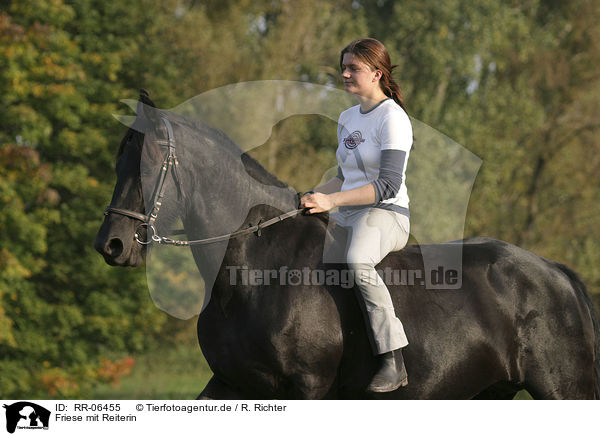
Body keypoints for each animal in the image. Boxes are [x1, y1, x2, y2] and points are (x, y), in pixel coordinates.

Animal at [92, 91, 596, 398]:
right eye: (118, 160)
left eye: (150, 162)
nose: (111, 245)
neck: (252, 272)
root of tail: (555, 272)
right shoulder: (229, 382)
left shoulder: (307, 385)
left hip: (563, 389)